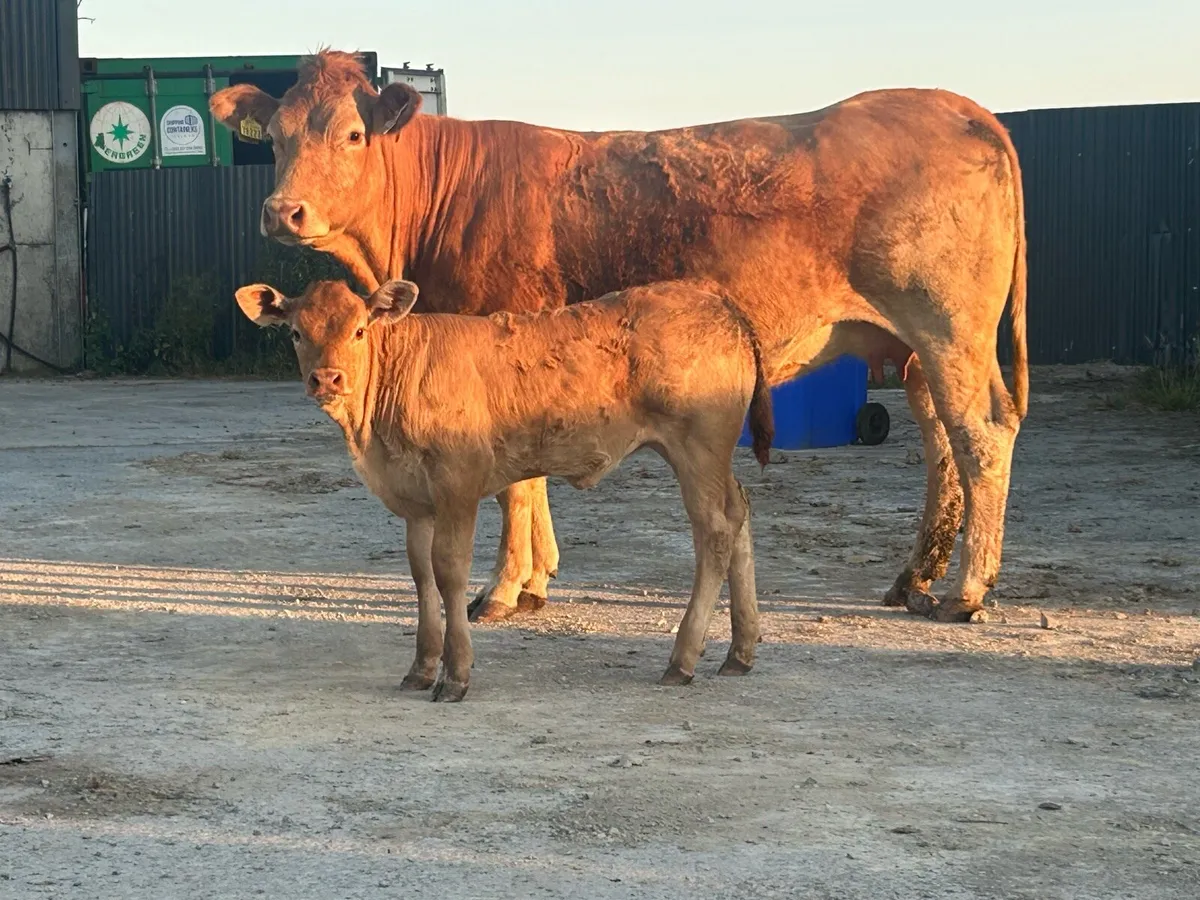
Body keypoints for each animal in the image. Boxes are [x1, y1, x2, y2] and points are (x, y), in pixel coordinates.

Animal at [211, 50, 1028, 626]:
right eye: (275, 137)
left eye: (352, 134)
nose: (283, 211)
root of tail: (956, 105)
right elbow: (529, 476)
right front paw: (536, 578)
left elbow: (518, 484)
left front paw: (504, 588)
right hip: (916, 348)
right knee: (942, 444)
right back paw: (914, 577)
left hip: (949, 328)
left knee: (981, 433)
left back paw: (968, 590)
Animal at [233, 277, 776, 701]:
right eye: (297, 332)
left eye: (359, 330)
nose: (327, 378)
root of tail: (717, 302)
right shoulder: (415, 501)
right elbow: (420, 575)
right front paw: (421, 668)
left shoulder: (457, 483)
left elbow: (449, 571)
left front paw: (455, 674)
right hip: (710, 455)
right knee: (740, 511)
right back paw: (740, 650)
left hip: (697, 447)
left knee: (714, 530)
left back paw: (682, 658)